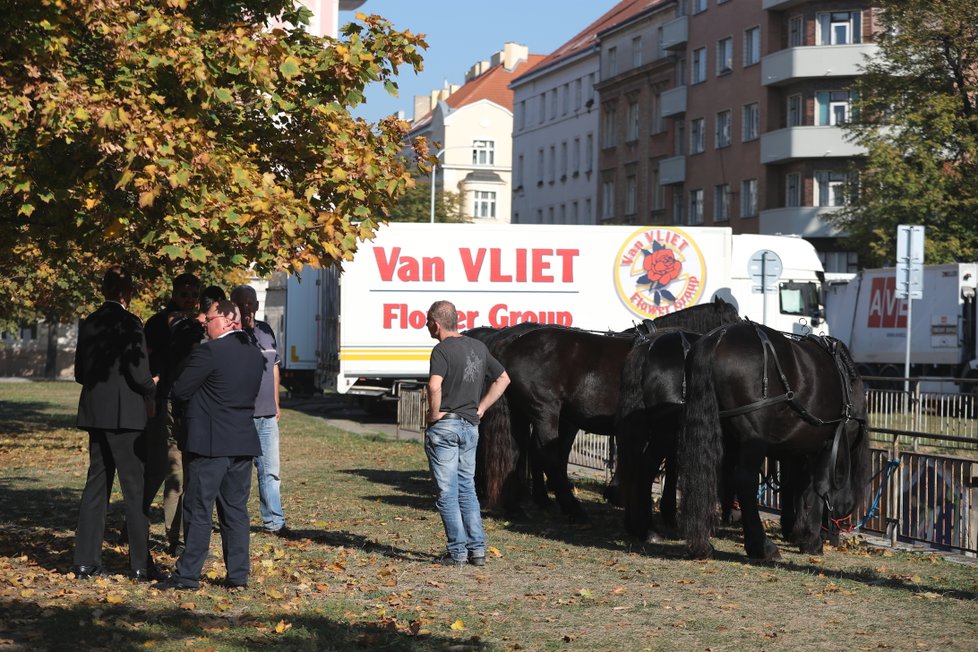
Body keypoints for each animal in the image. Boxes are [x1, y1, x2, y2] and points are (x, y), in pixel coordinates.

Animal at [476, 300, 736, 520]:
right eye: (731, 320)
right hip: (544, 410)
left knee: (516, 450)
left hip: (521, 413)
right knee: (546, 454)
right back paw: (570, 507)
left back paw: (517, 506)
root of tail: (511, 343)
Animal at [676, 320, 872, 560]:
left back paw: (703, 545)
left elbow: (797, 486)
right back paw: (761, 546)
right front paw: (811, 540)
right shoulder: (826, 444)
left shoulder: (797, 451)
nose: (834, 535)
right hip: (753, 440)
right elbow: (819, 487)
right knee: (745, 482)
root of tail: (718, 339)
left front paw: (796, 531)